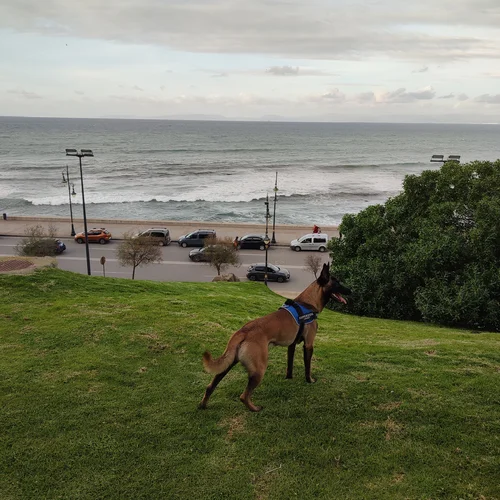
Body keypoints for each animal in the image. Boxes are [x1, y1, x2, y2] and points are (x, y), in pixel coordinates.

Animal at [197, 264, 350, 412]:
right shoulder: (308, 344)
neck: (307, 303)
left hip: (228, 364)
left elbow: (289, 365)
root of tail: (243, 331)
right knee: (243, 396)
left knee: (210, 386)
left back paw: (203, 405)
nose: (350, 291)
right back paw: (255, 409)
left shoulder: (292, 345)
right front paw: (309, 380)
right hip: (259, 369)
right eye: (337, 283)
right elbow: (308, 367)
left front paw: (289, 378)